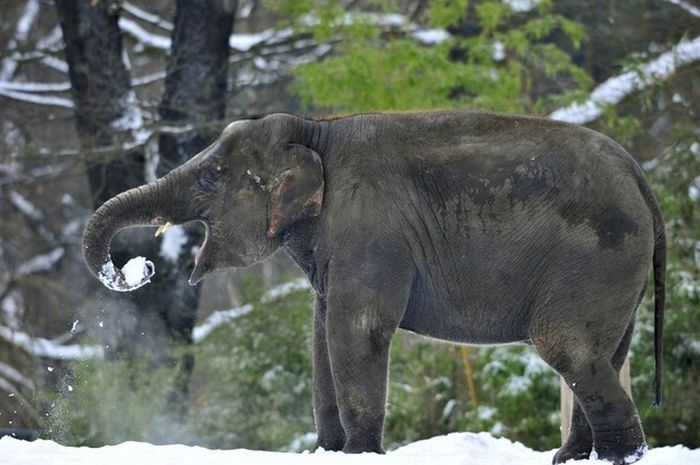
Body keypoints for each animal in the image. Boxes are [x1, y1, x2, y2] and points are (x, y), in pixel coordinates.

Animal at [82, 110, 660, 462]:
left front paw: (359, 453)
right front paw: (329, 453)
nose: (138, 270)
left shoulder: (370, 230)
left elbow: (355, 328)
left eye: (210, 176)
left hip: (597, 256)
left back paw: (618, 457)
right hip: (617, 272)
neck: (315, 131)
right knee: (605, 353)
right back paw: (575, 458)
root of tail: (638, 174)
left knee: (568, 348)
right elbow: (320, 337)